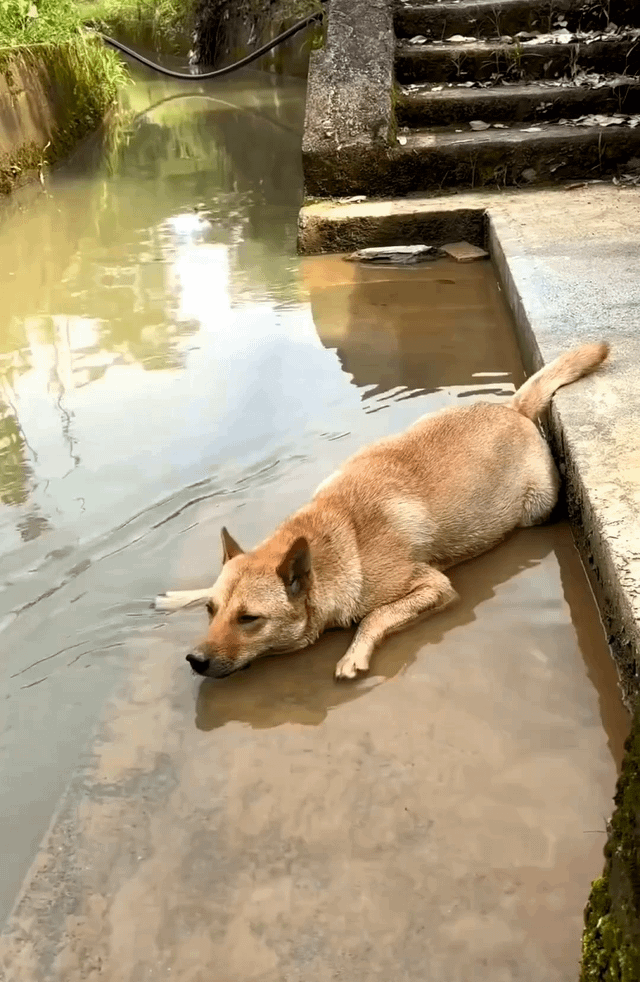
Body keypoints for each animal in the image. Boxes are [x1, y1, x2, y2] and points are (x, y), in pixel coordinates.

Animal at [158, 348, 608, 684]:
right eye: (211, 611)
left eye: (249, 619)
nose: (195, 659)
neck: (333, 539)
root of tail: (513, 408)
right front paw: (181, 595)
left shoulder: (433, 586)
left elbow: (375, 616)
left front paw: (355, 652)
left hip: (538, 507)